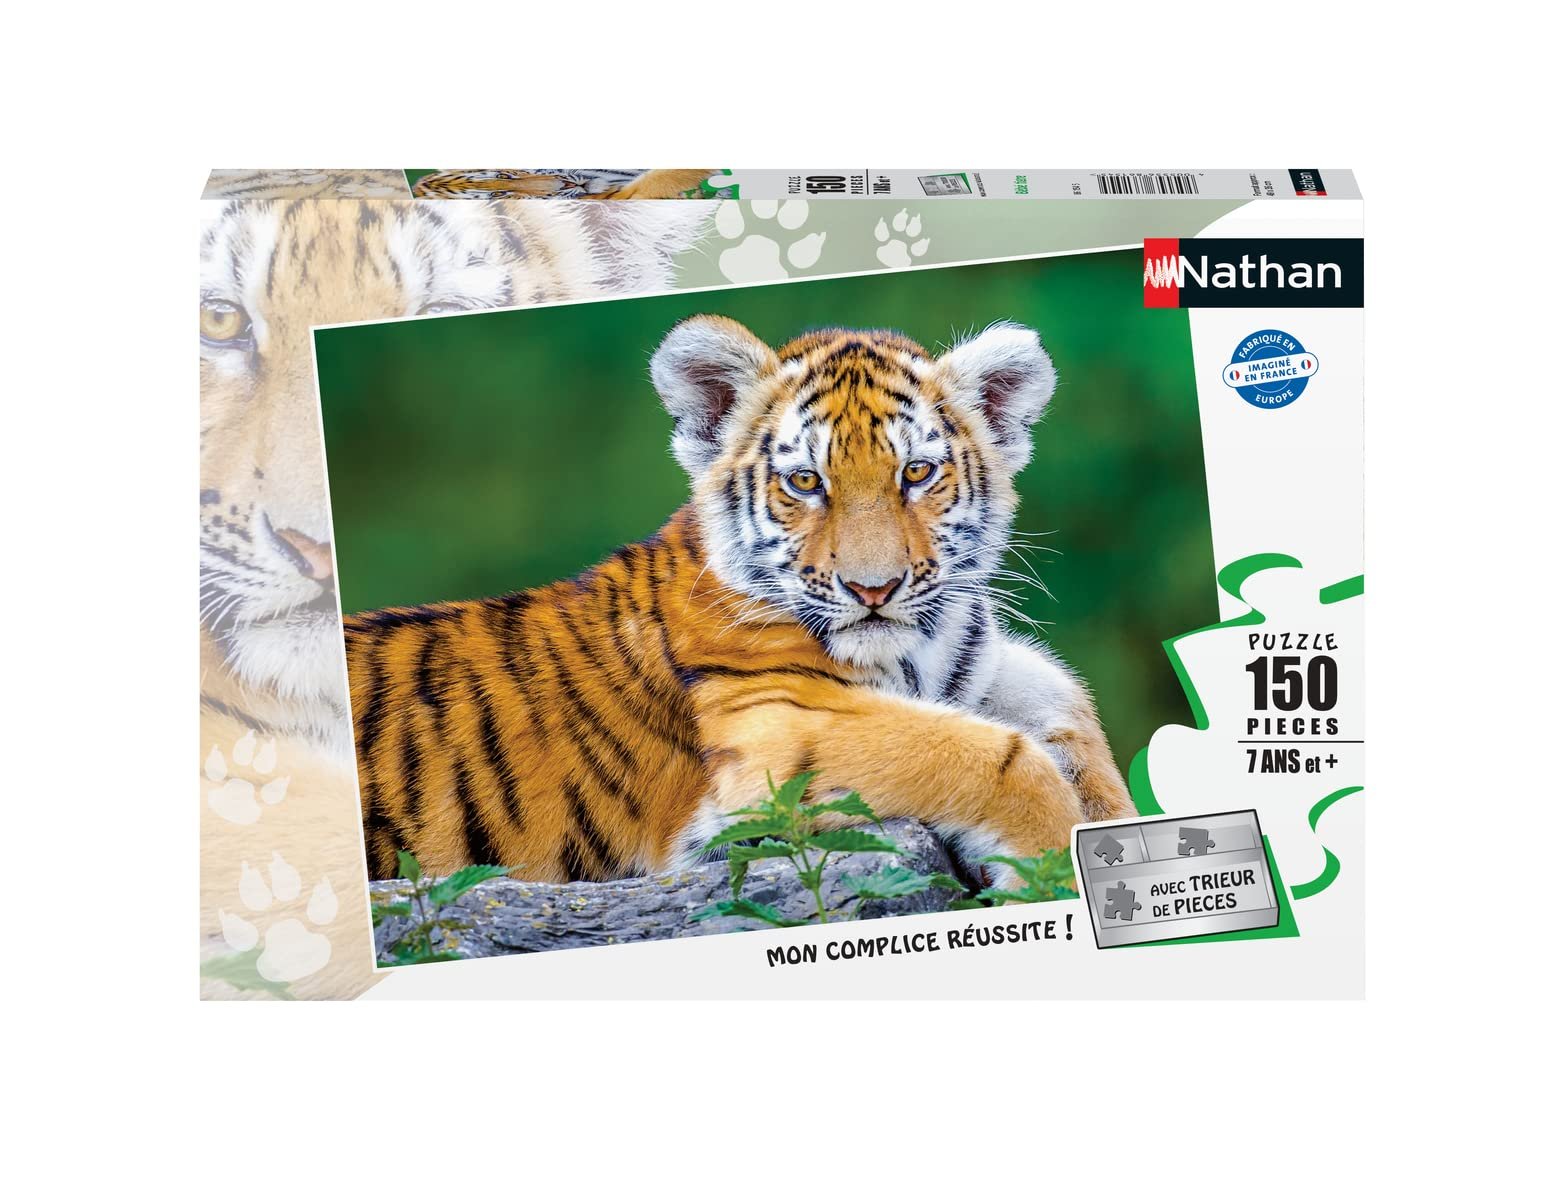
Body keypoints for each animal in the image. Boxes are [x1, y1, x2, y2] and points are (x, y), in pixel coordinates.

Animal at [344, 316, 1133, 894]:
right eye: (806, 481)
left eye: (916, 473)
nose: (872, 590)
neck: (920, 654)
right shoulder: (777, 728)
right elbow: (998, 756)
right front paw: (1052, 875)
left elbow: (1062, 701)